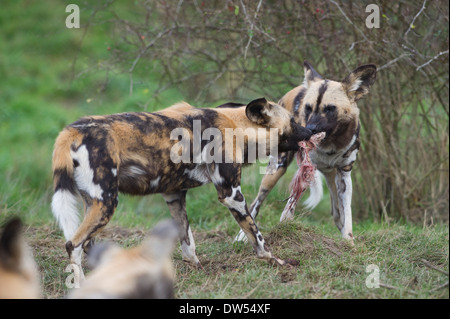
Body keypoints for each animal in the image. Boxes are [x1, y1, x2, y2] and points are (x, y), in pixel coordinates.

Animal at [237, 61, 378, 245]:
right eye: (308, 108)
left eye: (330, 109)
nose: (309, 129)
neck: (331, 145)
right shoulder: (304, 170)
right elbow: (288, 210)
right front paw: (285, 231)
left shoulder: (344, 175)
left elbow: (347, 214)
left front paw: (348, 242)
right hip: (276, 169)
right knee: (256, 202)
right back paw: (241, 236)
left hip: (331, 176)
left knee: (337, 212)